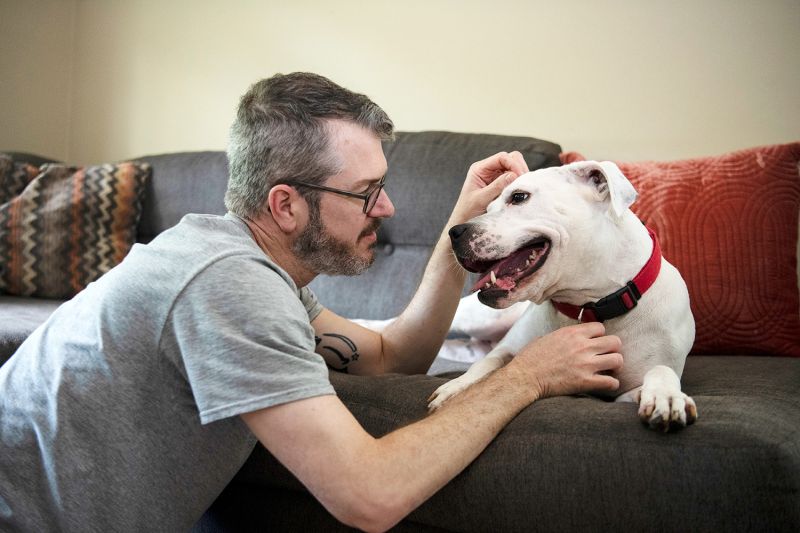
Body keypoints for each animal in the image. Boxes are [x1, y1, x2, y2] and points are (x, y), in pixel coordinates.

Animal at [428, 160, 696, 430]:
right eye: (488, 207)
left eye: (519, 197)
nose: (454, 232)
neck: (590, 305)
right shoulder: (507, 348)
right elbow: (486, 364)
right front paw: (456, 388)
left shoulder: (628, 390)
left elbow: (660, 370)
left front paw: (666, 395)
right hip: (481, 319)